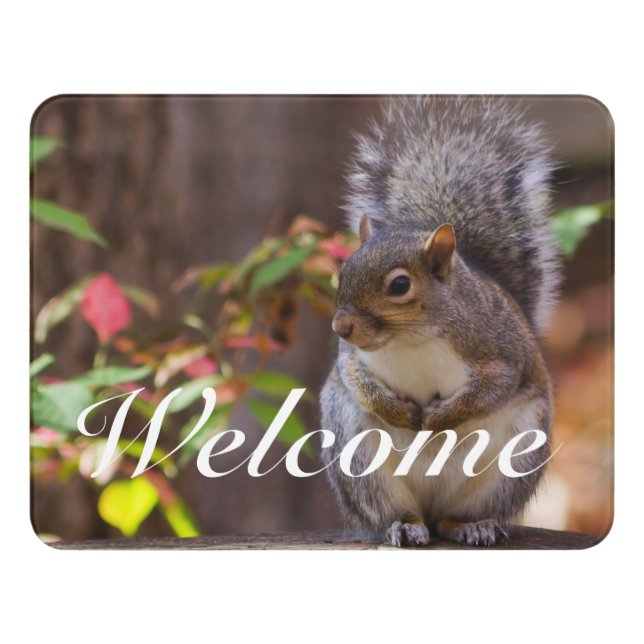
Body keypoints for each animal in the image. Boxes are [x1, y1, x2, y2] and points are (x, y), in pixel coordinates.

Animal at [320, 96, 561, 547]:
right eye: (342, 272)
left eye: (399, 285)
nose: (341, 328)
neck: (410, 339)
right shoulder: (351, 359)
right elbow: (353, 378)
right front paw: (398, 412)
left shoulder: (503, 350)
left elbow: (494, 387)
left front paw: (439, 418)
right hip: (360, 460)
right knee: (400, 512)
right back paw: (404, 525)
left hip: (510, 467)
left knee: (454, 517)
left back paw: (471, 526)